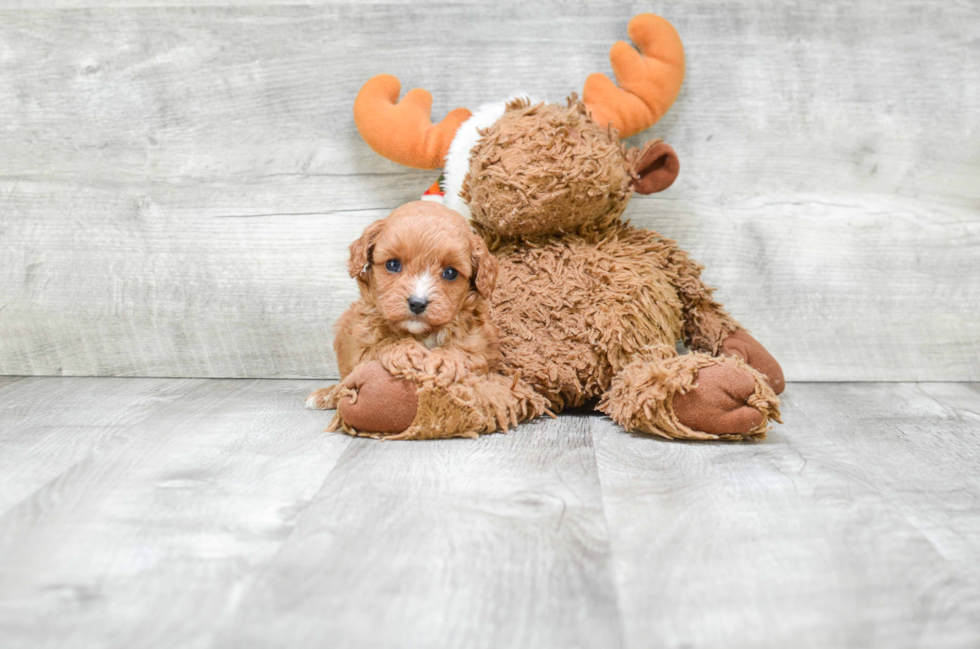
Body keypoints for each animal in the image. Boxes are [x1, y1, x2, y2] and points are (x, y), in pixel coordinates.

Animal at [304, 201, 506, 436]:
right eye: (393, 264)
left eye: (450, 273)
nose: (417, 303)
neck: (420, 333)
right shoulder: (362, 346)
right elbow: (381, 344)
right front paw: (405, 350)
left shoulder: (479, 347)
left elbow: (464, 353)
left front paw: (443, 360)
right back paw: (326, 394)